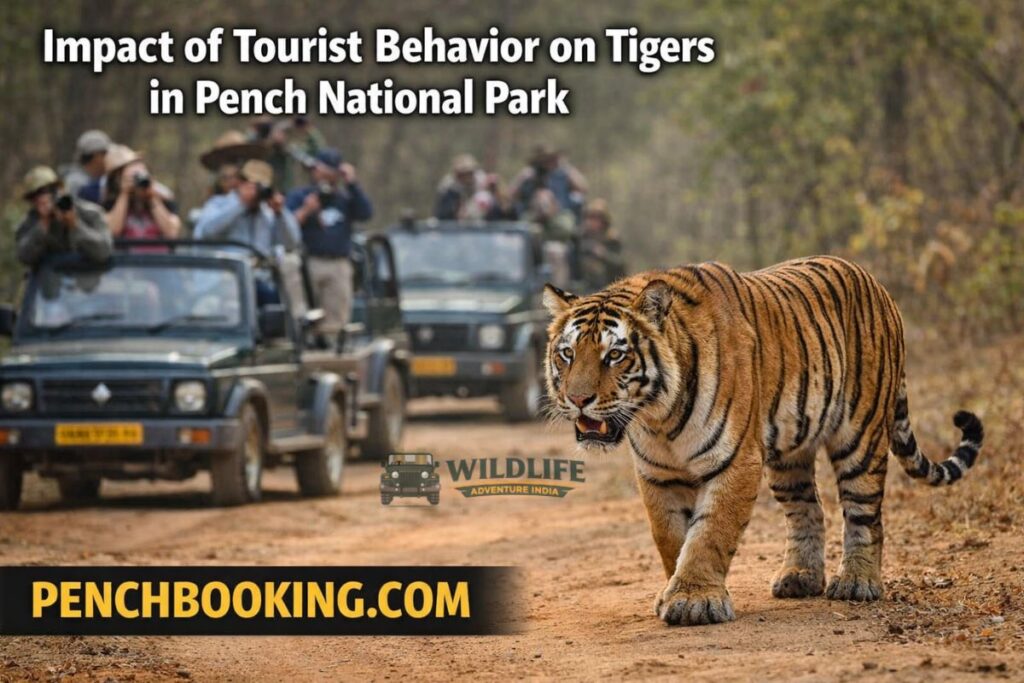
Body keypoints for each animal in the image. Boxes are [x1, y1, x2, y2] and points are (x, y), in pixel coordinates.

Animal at [542, 256, 983, 626]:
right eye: (567, 354)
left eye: (615, 356)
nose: (577, 399)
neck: (658, 417)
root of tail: (874, 281)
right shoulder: (657, 473)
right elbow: (670, 536)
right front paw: (672, 591)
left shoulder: (735, 460)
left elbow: (709, 533)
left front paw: (694, 600)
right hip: (789, 458)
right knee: (809, 510)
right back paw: (800, 577)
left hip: (861, 435)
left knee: (864, 513)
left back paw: (857, 583)